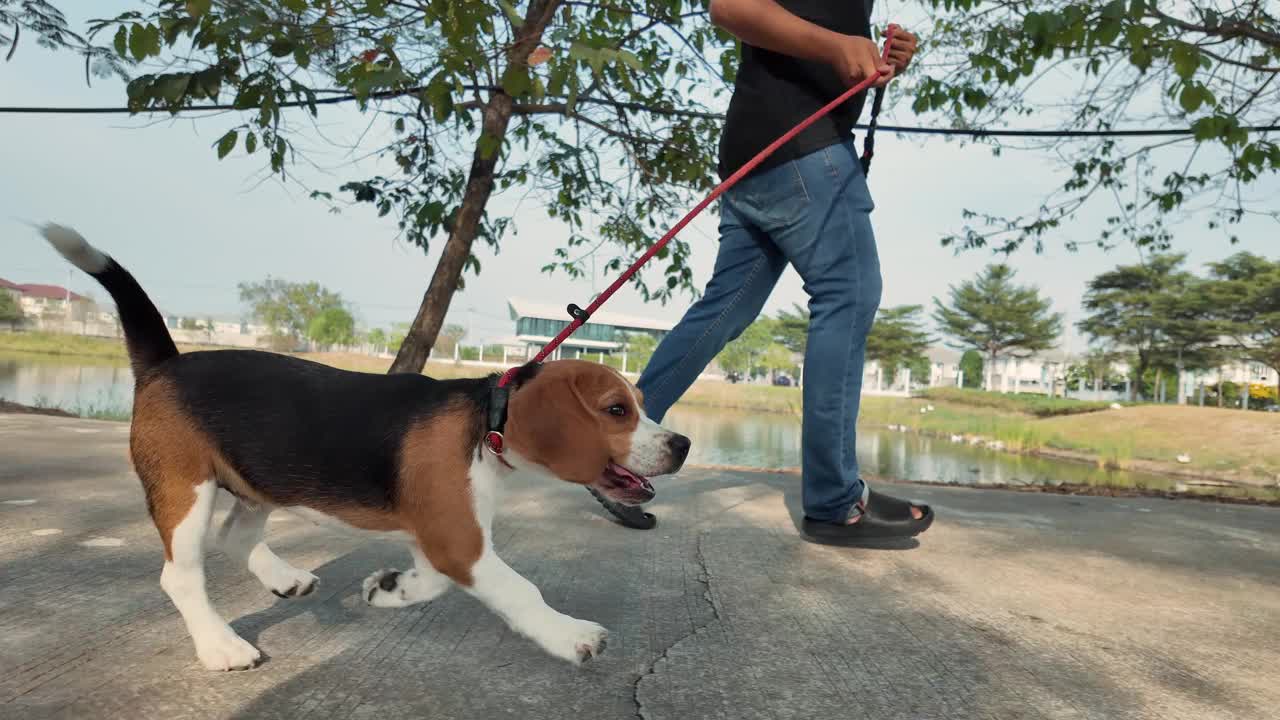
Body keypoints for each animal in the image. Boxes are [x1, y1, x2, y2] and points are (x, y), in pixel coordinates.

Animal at [42, 222, 691, 666]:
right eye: (616, 410)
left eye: (640, 404)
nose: (683, 444)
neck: (488, 422)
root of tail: (165, 364)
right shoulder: (459, 540)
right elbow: (521, 589)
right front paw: (571, 635)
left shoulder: (443, 538)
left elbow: (432, 581)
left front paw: (390, 589)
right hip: (184, 487)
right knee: (180, 577)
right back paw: (221, 647)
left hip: (258, 483)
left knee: (236, 537)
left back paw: (282, 578)